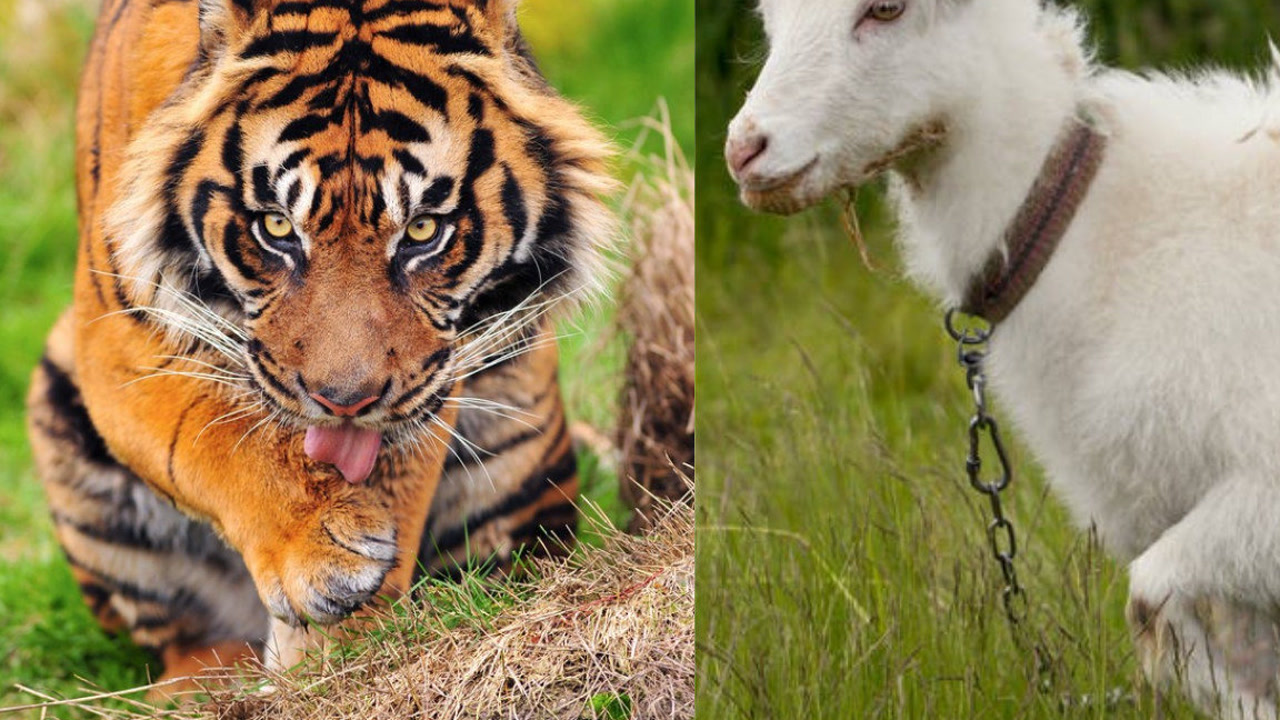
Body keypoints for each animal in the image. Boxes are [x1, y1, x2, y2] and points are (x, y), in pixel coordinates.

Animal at [24, 0, 615, 693]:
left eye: (423, 231)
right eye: (277, 227)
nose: (344, 403)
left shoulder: (433, 372)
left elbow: (395, 476)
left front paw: (341, 662)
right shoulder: (116, 328)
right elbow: (216, 433)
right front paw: (318, 552)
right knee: (188, 642)